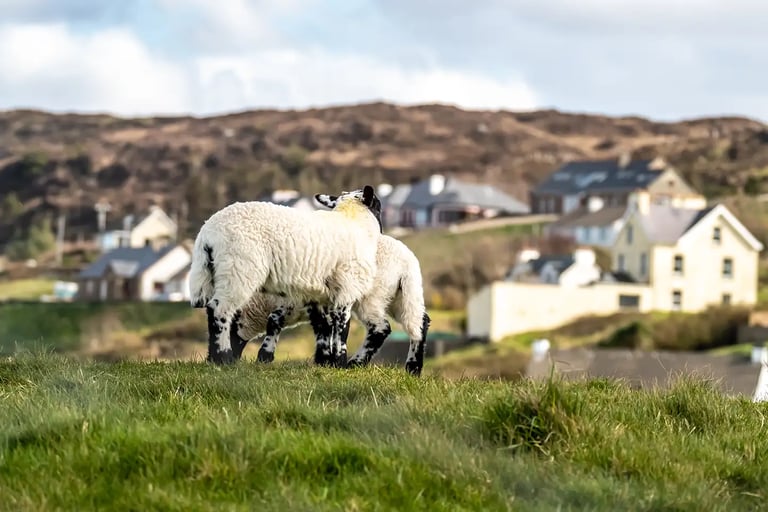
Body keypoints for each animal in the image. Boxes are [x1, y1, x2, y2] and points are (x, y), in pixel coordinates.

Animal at [189, 185, 382, 365]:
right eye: (379, 206)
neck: (354, 221)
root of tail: (207, 234)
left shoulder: (322, 295)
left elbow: (325, 328)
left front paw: (326, 361)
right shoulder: (347, 288)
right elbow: (342, 328)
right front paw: (339, 362)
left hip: (213, 272)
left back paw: (213, 358)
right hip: (239, 269)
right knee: (219, 309)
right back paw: (223, 358)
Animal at [229, 230, 431, 376]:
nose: (228, 361)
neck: (263, 302)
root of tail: (407, 263)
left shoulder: (295, 301)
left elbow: (274, 321)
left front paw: (264, 357)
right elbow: (323, 329)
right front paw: (324, 361)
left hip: (372, 296)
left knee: (381, 328)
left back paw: (355, 363)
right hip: (400, 296)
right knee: (420, 322)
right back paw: (413, 369)